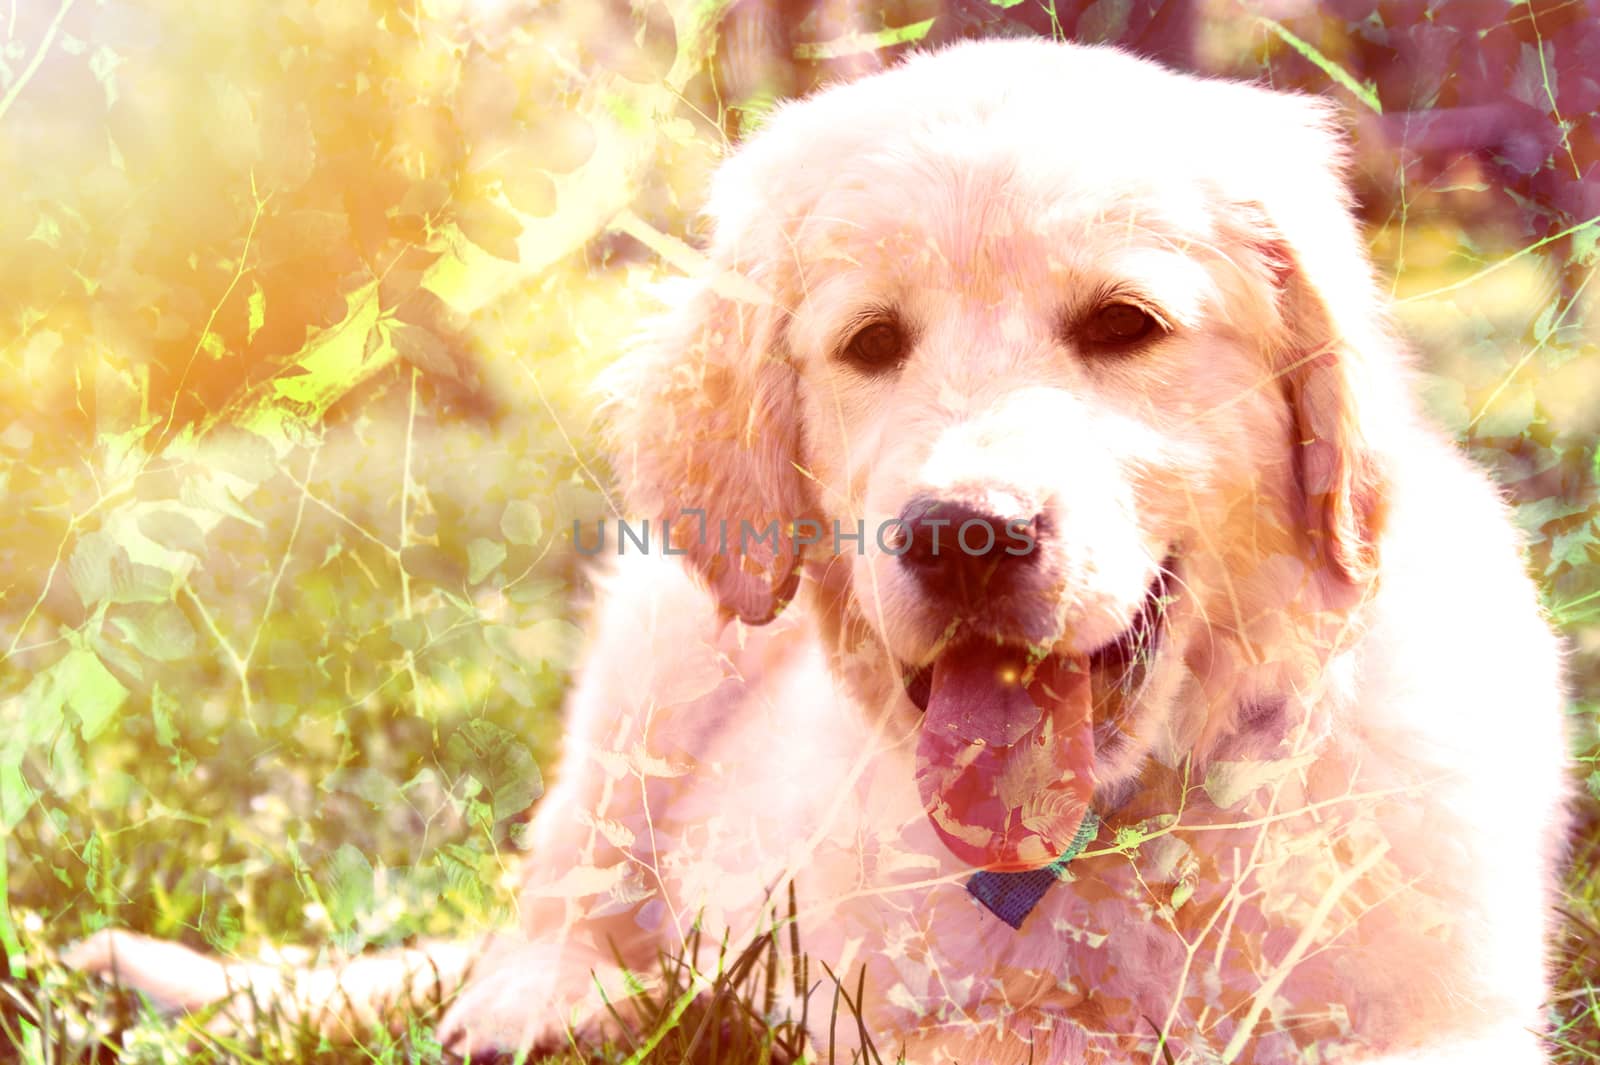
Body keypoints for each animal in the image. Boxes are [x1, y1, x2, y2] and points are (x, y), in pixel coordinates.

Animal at [72, 39, 1561, 1061]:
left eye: (1124, 325)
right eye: (871, 343)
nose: (965, 536)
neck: (1115, 833)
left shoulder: (1449, 1022)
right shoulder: (879, 1012)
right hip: (656, 637)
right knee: (563, 884)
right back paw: (549, 1002)